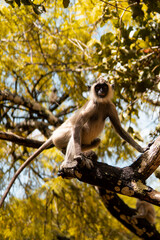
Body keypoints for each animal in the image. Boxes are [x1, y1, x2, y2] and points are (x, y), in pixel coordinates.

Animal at [0, 77, 145, 206]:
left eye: (103, 87)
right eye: (97, 87)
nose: (100, 91)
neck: (100, 103)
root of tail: (53, 135)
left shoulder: (110, 106)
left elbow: (120, 130)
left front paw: (142, 149)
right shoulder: (92, 105)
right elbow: (78, 125)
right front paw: (80, 156)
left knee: (96, 140)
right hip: (60, 136)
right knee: (75, 132)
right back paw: (70, 162)